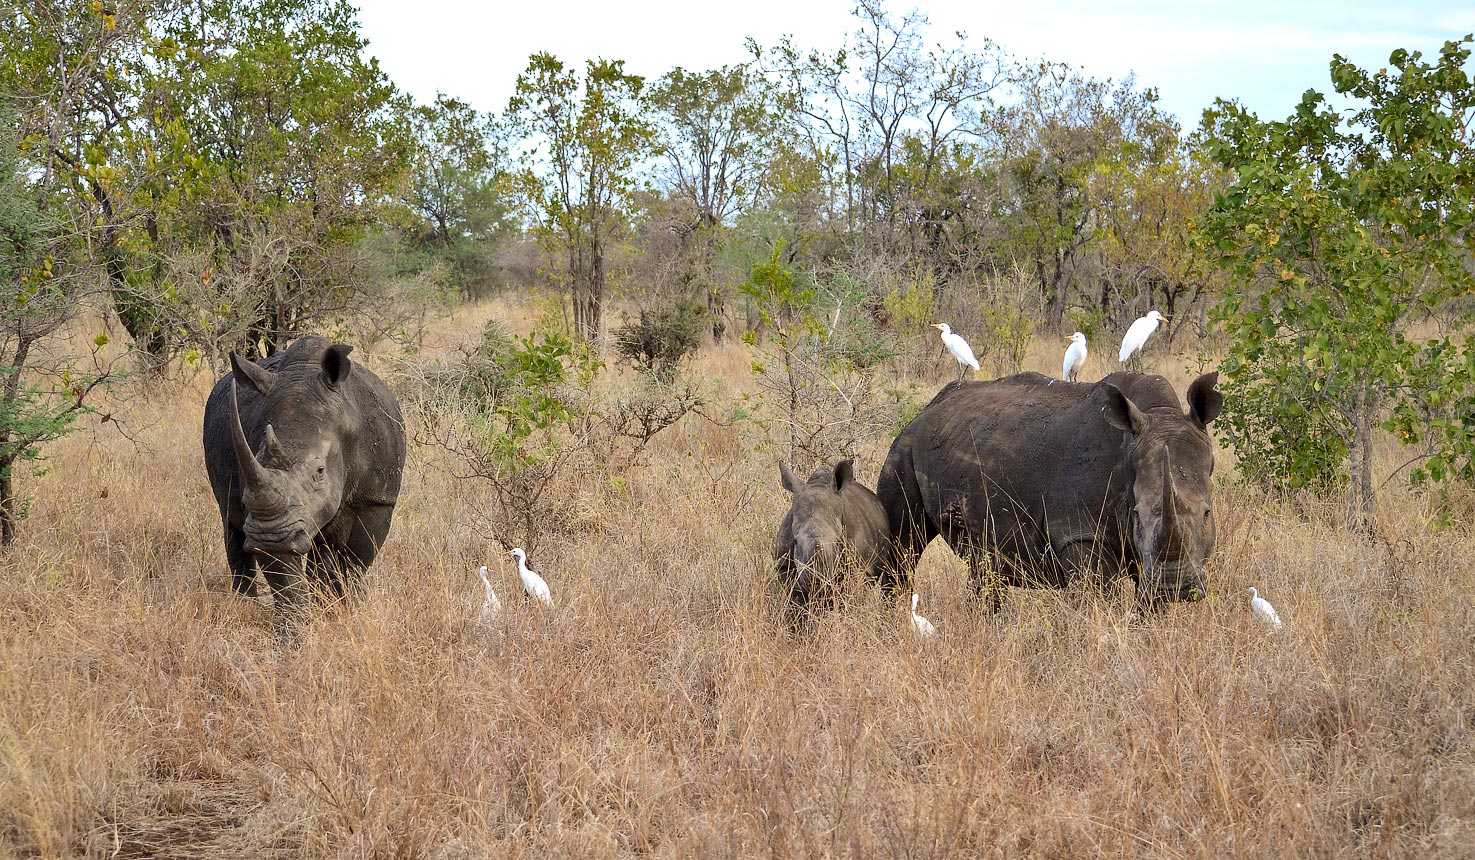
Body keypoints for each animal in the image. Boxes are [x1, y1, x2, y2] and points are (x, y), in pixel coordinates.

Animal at [202, 336, 407, 625]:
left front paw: (345, 612)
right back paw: (244, 605)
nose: (269, 537)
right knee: (230, 521)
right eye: (256, 458)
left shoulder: (376, 499)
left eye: (320, 470)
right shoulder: (273, 519)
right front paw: (294, 628)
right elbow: (285, 578)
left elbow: (355, 563)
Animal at [773, 459, 892, 621]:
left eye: (837, 541)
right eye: (795, 541)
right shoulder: (784, 567)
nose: (816, 581)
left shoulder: (858, 568)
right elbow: (796, 605)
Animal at [877, 371, 1223, 613]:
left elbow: (1150, 608)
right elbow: (1098, 600)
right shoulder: (1079, 532)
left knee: (984, 565)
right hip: (904, 444)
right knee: (902, 547)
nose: (1175, 587)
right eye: (1136, 515)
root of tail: (928, 408)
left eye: (1207, 514)